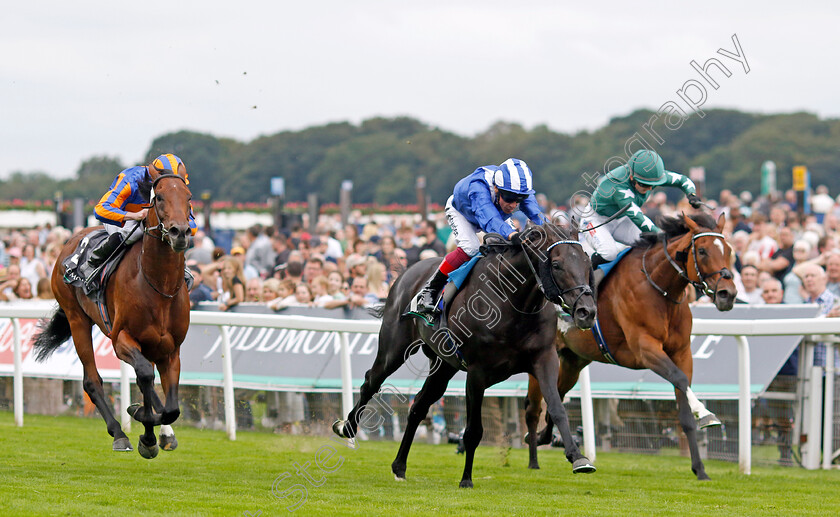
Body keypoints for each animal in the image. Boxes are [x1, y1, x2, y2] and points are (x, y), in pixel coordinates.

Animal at [32, 170, 192, 460]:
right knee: (92, 381)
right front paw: (144, 430)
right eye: (159, 197)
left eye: (188, 198)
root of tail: (72, 239)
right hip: (77, 319)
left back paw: (161, 432)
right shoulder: (121, 340)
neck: (158, 286)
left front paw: (154, 428)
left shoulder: (170, 349)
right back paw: (119, 433)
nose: (180, 232)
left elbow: (170, 407)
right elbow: (145, 376)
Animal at [332, 223, 600, 488]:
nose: (587, 311)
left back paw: (399, 466)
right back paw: (347, 428)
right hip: (395, 347)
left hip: (443, 366)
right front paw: (466, 479)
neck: (514, 303)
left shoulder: (544, 359)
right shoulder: (477, 372)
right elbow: (473, 431)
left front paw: (578, 458)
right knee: (371, 381)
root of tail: (407, 272)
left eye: (587, 263)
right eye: (556, 264)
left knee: (418, 406)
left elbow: (557, 407)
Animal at [524, 212, 736, 478]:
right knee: (533, 407)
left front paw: (700, 469)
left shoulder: (682, 353)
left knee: (559, 393)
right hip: (541, 357)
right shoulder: (645, 349)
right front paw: (706, 414)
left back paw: (548, 438)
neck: (659, 289)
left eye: (729, 250)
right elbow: (679, 379)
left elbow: (684, 404)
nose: (728, 294)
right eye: (703, 250)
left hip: (574, 360)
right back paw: (533, 458)